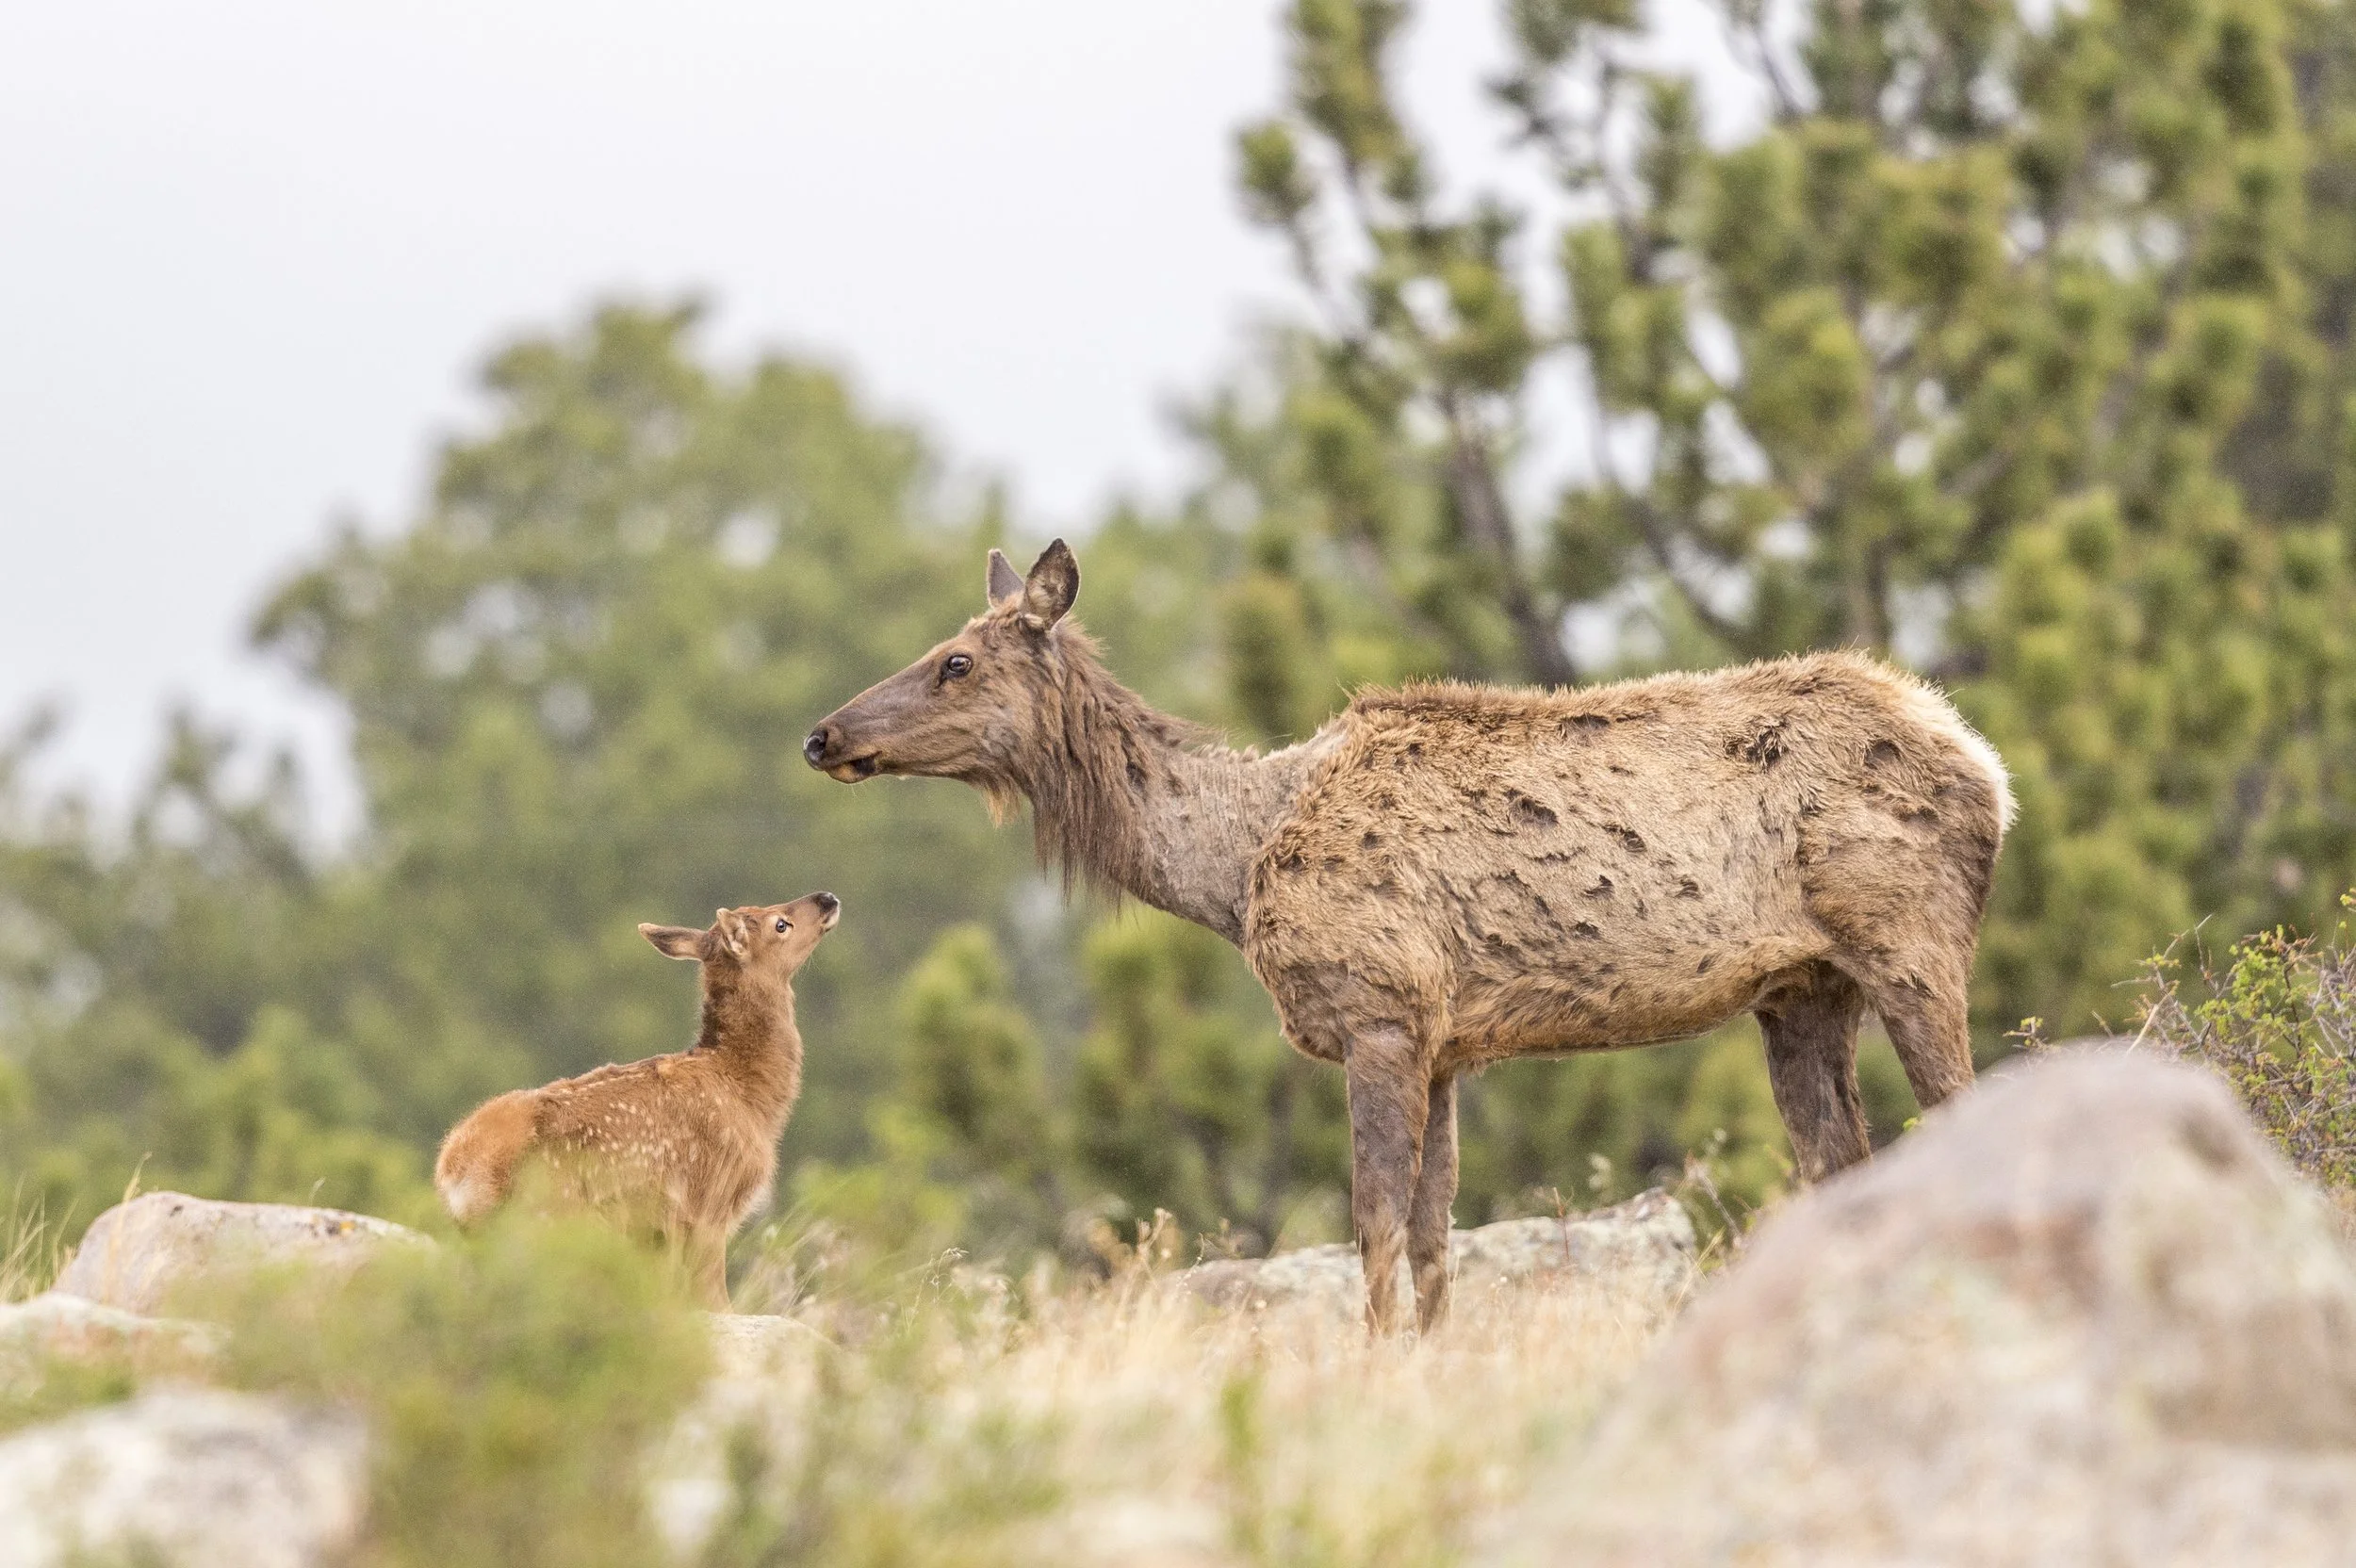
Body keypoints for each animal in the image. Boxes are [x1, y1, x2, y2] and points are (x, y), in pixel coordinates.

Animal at [433, 892, 840, 1309]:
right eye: (780, 924)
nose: (827, 899)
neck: (745, 1092)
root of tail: (457, 1169)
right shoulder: (709, 1202)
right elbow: (714, 1299)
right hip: (554, 1219)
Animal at [804, 541, 2013, 1336]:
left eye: (956, 662)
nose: (822, 733)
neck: (1232, 864)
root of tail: (1988, 767)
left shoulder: (1377, 1009)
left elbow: (1375, 1223)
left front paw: (1374, 1365)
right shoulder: (1446, 1044)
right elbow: (1435, 1237)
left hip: (1908, 941)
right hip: (1801, 990)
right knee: (1838, 1162)